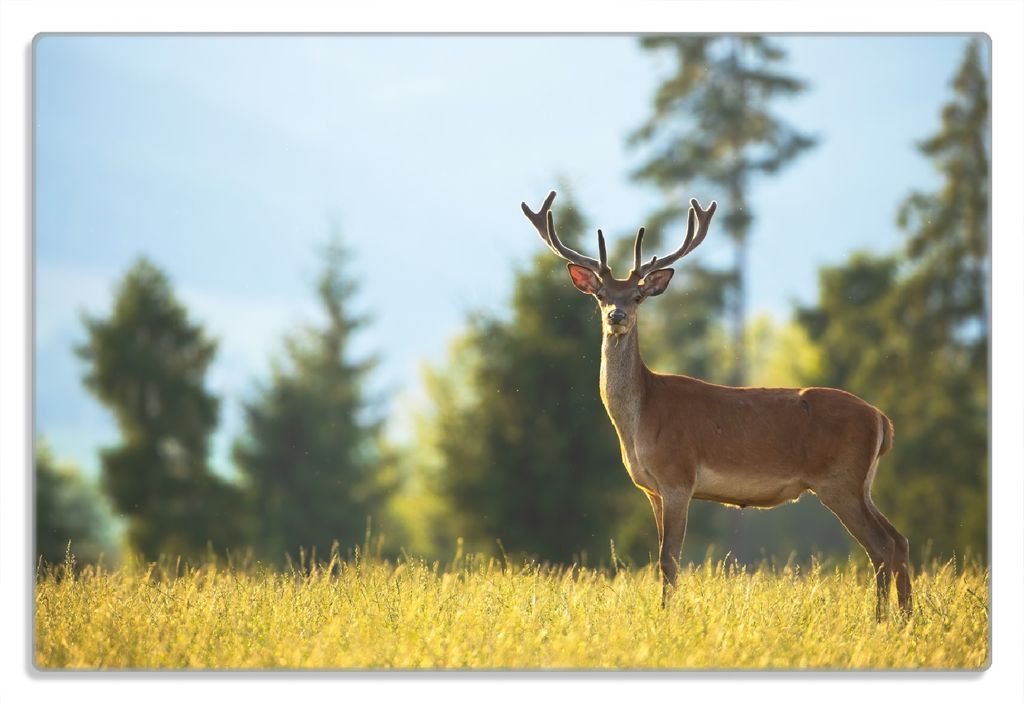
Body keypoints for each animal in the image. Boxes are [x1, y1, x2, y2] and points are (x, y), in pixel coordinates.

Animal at [521, 191, 912, 620]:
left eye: (637, 296)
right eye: (601, 296)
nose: (617, 316)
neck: (639, 420)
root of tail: (882, 420)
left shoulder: (678, 477)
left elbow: (669, 558)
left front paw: (667, 615)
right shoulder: (651, 489)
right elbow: (661, 557)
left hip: (839, 479)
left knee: (880, 545)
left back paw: (881, 618)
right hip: (862, 482)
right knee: (899, 539)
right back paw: (907, 617)